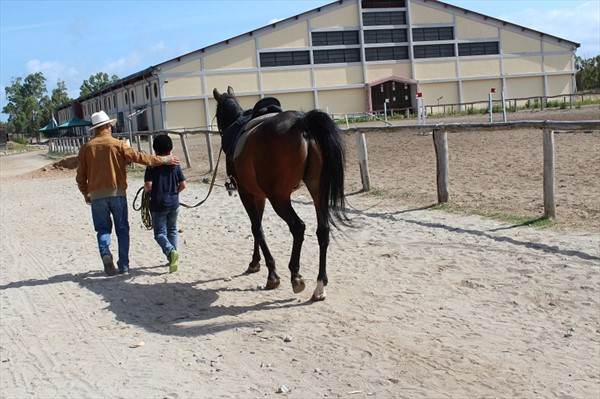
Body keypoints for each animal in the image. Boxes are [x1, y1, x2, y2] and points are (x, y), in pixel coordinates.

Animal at [213, 86, 350, 302]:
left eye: (218, 113)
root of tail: (302, 122)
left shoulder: (246, 193)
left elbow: (257, 228)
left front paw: (272, 275)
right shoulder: (258, 195)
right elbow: (257, 226)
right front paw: (255, 262)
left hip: (279, 198)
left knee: (298, 227)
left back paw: (296, 276)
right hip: (317, 192)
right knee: (323, 231)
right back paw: (320, 286)